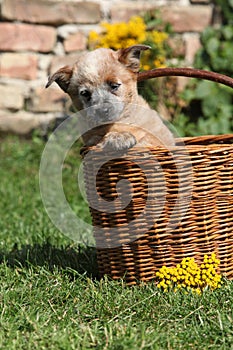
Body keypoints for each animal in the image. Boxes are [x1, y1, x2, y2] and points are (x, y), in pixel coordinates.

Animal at [45, 44, 174, 150]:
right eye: (85, 93)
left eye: (114, 86)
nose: (102, 111)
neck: (119, 123)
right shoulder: (89, 140)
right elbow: (98, 138)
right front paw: (119, 137)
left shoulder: (161, 138)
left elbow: (148, 139)